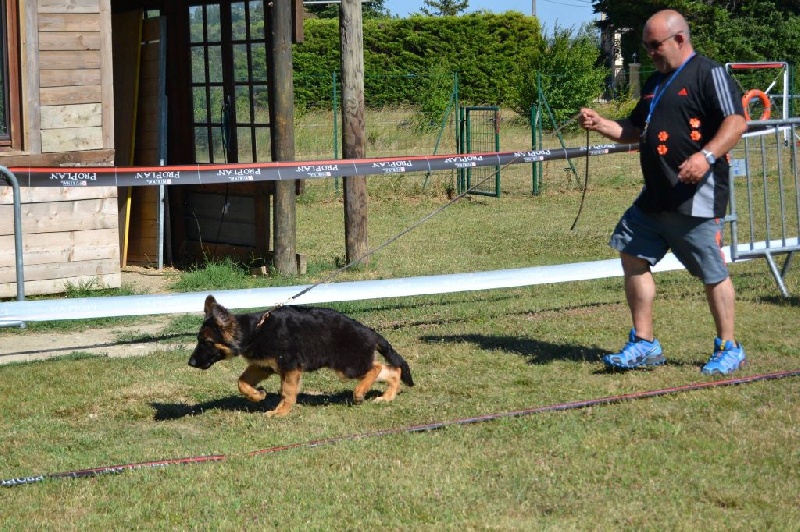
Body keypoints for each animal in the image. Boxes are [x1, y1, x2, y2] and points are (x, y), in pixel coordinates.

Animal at [187, 296, 412, 416]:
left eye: (206, 342)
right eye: (198, 340)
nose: (190, 362)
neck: (254, 331)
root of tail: (369, 332)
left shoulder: (290, 367)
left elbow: (287, 392)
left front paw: (280, 412)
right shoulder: (263, 366)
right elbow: (242, 382)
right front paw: (258, 395)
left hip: (347, 366)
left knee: (376, 368)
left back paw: (359, 393)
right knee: (392, 370)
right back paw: (387, 397)